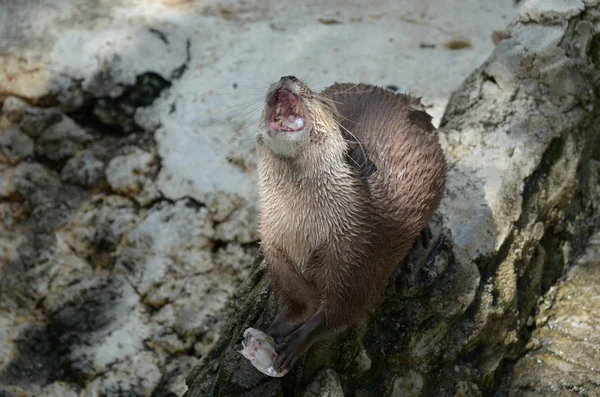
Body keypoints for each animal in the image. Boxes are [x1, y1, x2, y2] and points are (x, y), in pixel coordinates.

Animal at [253, 76, 446, 372]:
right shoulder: (277, 252)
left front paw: (295, 343)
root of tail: (403, 100)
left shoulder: (356, 255)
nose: (287, 77)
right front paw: (272, 330)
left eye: (319, 101)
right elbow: (295, 302)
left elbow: (343, 311)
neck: (303, 235)